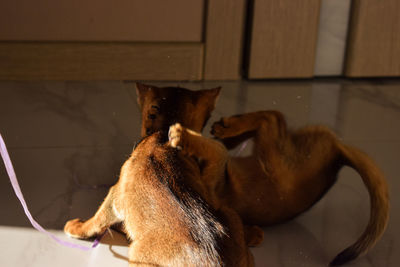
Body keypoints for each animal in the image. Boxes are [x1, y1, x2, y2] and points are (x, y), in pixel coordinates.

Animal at [136, 83, 390, 266]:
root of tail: (338, 156)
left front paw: (183, 136)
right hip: (275, 149)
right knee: (273, 119)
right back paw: (229, 133)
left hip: (273, 155)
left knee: (273, 117)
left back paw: (229, 129)